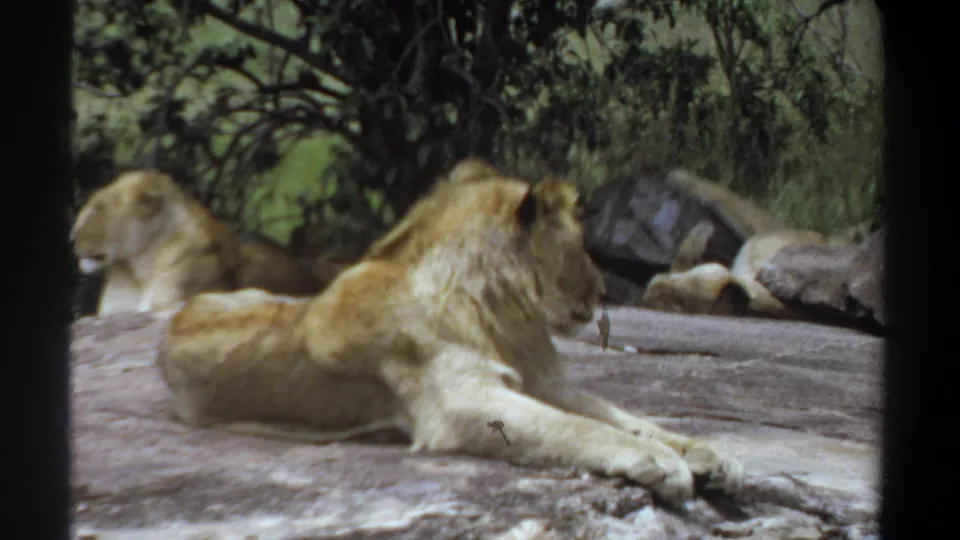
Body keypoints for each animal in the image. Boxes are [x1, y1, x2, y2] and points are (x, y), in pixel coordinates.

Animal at [157, 172, 743, 505]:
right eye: (581, 246)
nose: (604, 290)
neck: (504, 313)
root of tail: (179, 315)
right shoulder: (463, 400)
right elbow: (580, 429)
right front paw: (664, 466)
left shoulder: (546, 383)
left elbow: (627, 418)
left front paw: (707, 454)